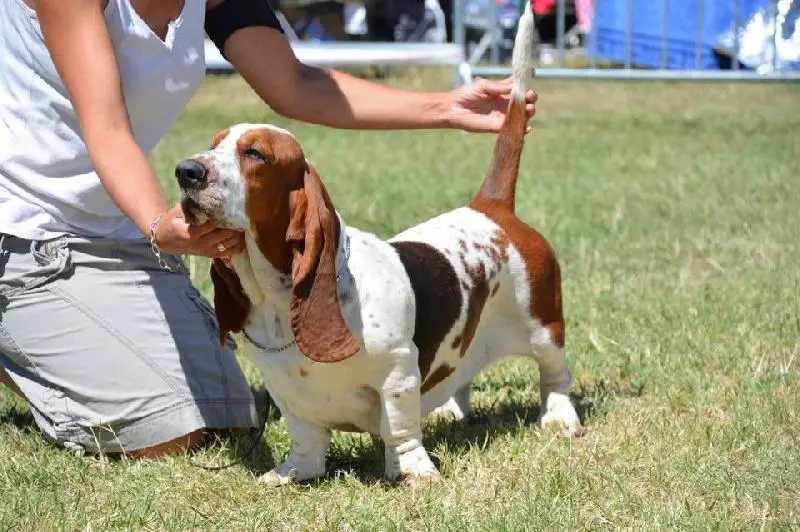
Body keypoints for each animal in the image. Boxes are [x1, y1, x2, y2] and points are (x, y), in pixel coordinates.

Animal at [178, 2, 584, 486]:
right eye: (213, 144)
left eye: (255, 154)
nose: (185, 172)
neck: (277, 296)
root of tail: (490, 207)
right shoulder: (285, 389)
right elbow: (306, 438)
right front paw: (292, 473)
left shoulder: (397, 374)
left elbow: (401, 431)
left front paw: (414, 474)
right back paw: (451, 409)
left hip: (542, 323)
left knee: (554, 372)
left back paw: (559, 418)